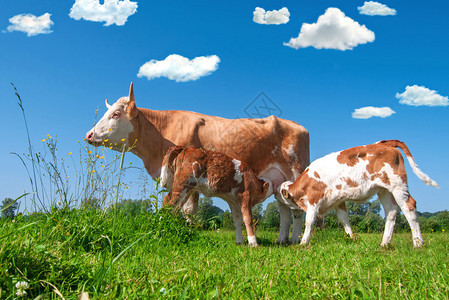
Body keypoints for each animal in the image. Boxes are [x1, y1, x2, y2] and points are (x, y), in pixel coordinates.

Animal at [83, 82, 308, 244]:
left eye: (116, 114)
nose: (89, 134)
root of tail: (296, 125)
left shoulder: (190, 180)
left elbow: (188, 210)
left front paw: (188, 231)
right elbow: (179, 207)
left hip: (296, 173)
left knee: (297, 210)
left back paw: (295, 241)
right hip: (278, 180)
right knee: (284, 209)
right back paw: (281, 240)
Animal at [278, 139, 436, 247]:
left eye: (280, 193)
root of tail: (384, 143)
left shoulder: (313, 200)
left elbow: (309, 221)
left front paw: (304, 242)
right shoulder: (338, 200)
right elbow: (344, 219)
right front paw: (351, 237)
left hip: (398, 184)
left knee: (409, 206)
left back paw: (418, 243)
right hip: (384, 190)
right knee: (391, 211)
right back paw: (385, 243)